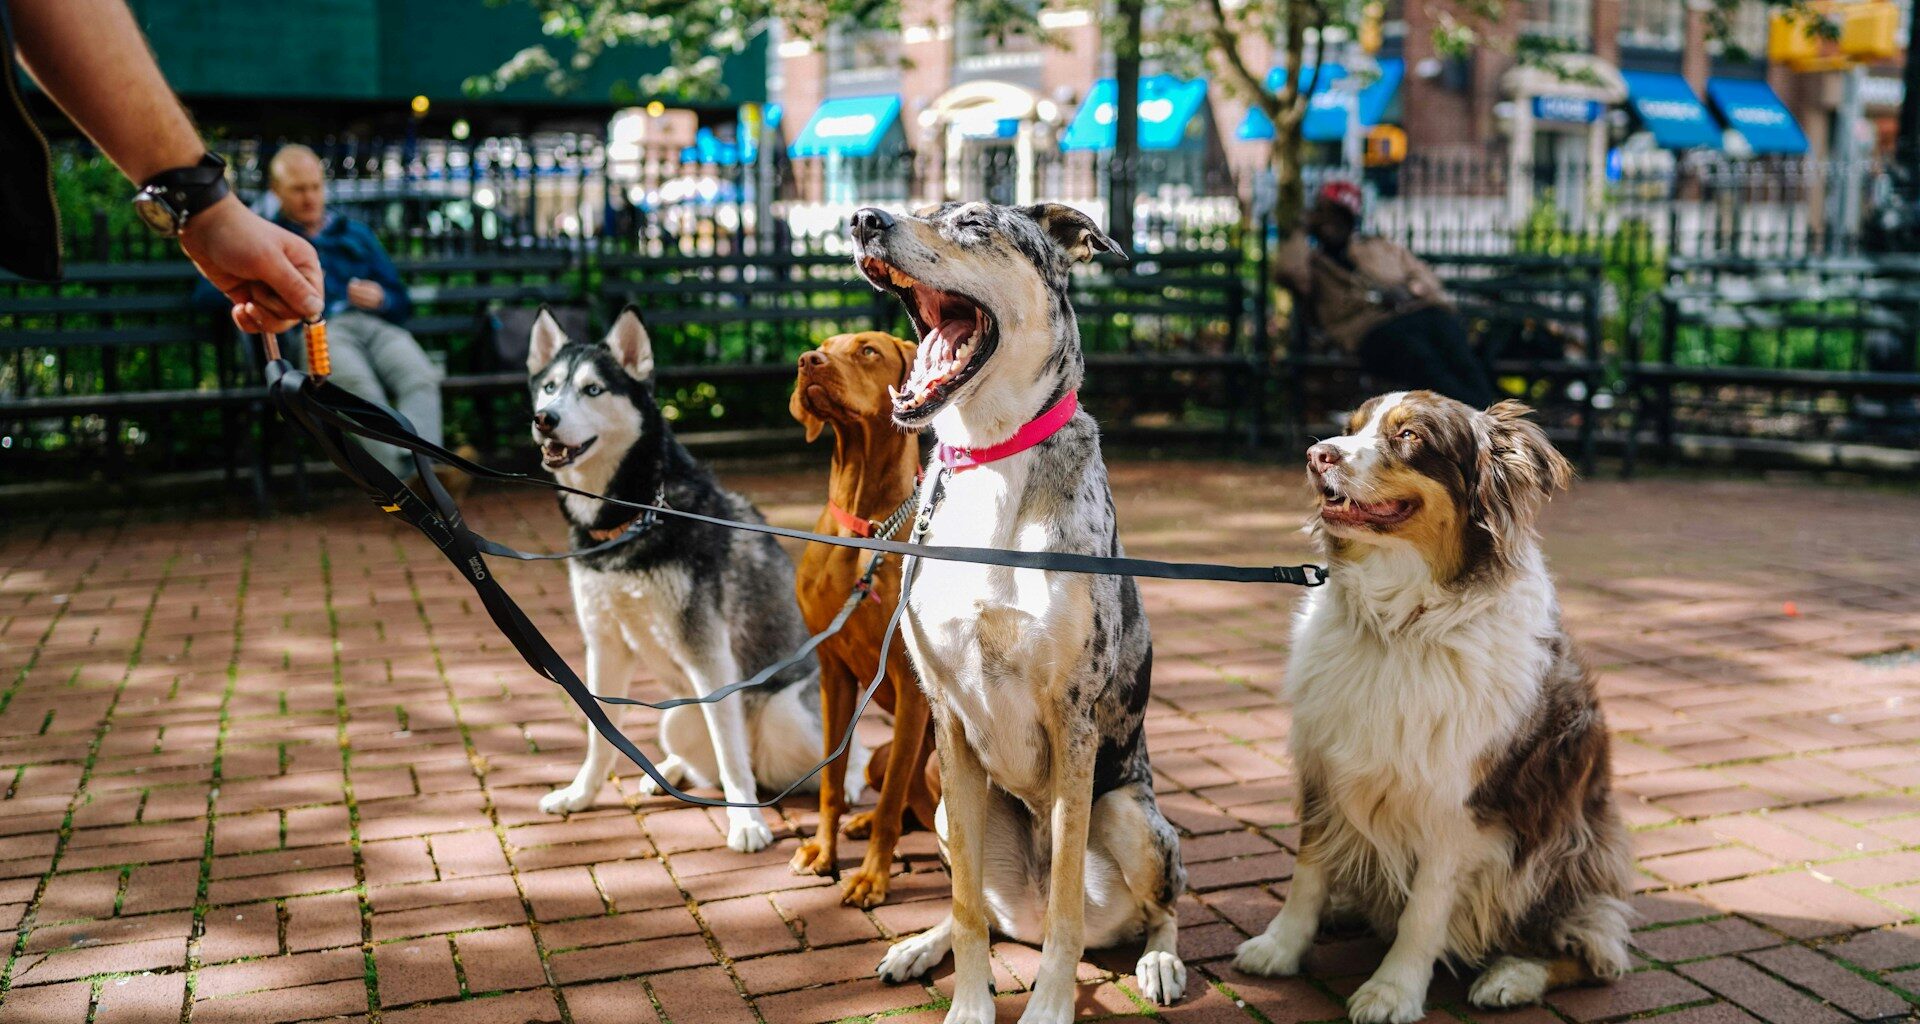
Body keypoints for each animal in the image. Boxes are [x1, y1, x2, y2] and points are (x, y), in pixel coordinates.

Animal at [526, 307, 856, 849]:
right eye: (550, 387)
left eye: (593, 389)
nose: (545, 419)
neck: (633, 516)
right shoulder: (604, 645)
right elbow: (599, 736)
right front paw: (581, 794)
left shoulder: (709, 653)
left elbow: (729, 749)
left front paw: (747, 823)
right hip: (678, 718)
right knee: (711, 762)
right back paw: (671, 772)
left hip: (784, 715)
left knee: (838, 753)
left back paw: (841, 784)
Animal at [787, 328, 936, 902]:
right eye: (823, 346)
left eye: (868, 350)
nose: (807, 361)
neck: (863, 525)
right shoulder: (833, 671)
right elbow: (831, 781)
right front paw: (823, 852)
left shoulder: (911, 686)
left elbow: (894, 800)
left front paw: (872, 876)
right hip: (877, 755)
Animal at [856, 201, 1182, 1022]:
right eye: (921, 206)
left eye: (974, 223)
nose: (864, 218)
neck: (990, 458)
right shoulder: (946, 718)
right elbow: (968, 907)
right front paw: (970, 1005)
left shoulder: (1073, 721)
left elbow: (1067, 906)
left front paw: (1050, 1008)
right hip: (948, 810)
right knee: (987, 908)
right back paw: (919, 946)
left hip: (1131, 816)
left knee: (1159, 907)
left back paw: (1160, 962)